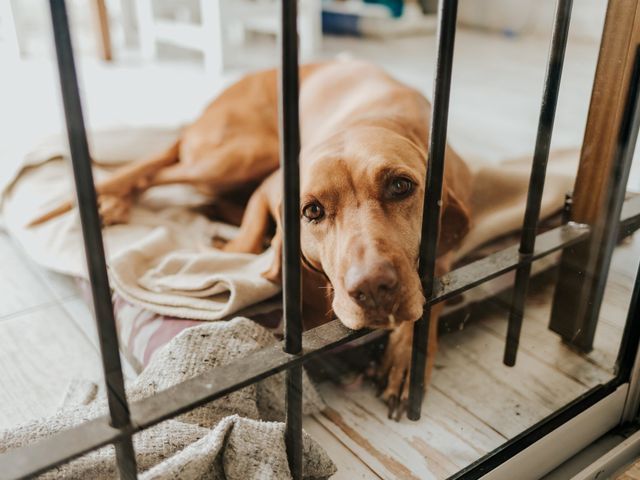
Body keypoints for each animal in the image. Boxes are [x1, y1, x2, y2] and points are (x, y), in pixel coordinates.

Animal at [31, 61, 470, 420]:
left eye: (400, 186)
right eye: (312, 211)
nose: (374, 287)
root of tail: (198, 117)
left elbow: (433, 288)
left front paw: (407, 358)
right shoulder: (268, 189)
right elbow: (244, 246)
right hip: (242, 155)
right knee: (157, 174)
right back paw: (113, 202)